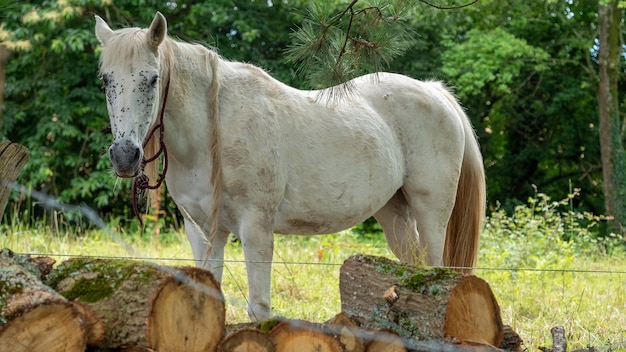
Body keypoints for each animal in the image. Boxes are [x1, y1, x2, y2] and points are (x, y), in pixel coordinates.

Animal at [95, 11, 486, 322]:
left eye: (152, 79)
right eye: (106, 79)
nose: (125, 156)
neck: (212, 134)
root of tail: (436, 92)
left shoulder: (256, 228)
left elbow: (259, 308)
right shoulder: (204, 231)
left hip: (431, 214)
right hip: (395, 214)